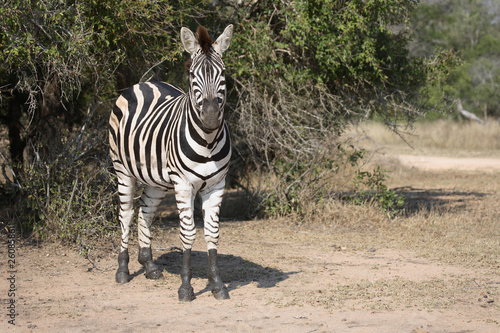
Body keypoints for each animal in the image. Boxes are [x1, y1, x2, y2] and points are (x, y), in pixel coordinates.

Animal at [108, 25, 233, 300]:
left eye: (222, 73)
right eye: (192, 75)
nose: (210, 118)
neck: (208, 141)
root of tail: (144, 83)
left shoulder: (217, 185)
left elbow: (212, 233)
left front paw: (218, 284)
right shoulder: (184, 184)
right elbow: (188, 233)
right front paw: (186, 287)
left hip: (155, 179)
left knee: (145, 211)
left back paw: (149, 265)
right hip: (122, 170)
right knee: (126, 214)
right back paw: (122, 270)